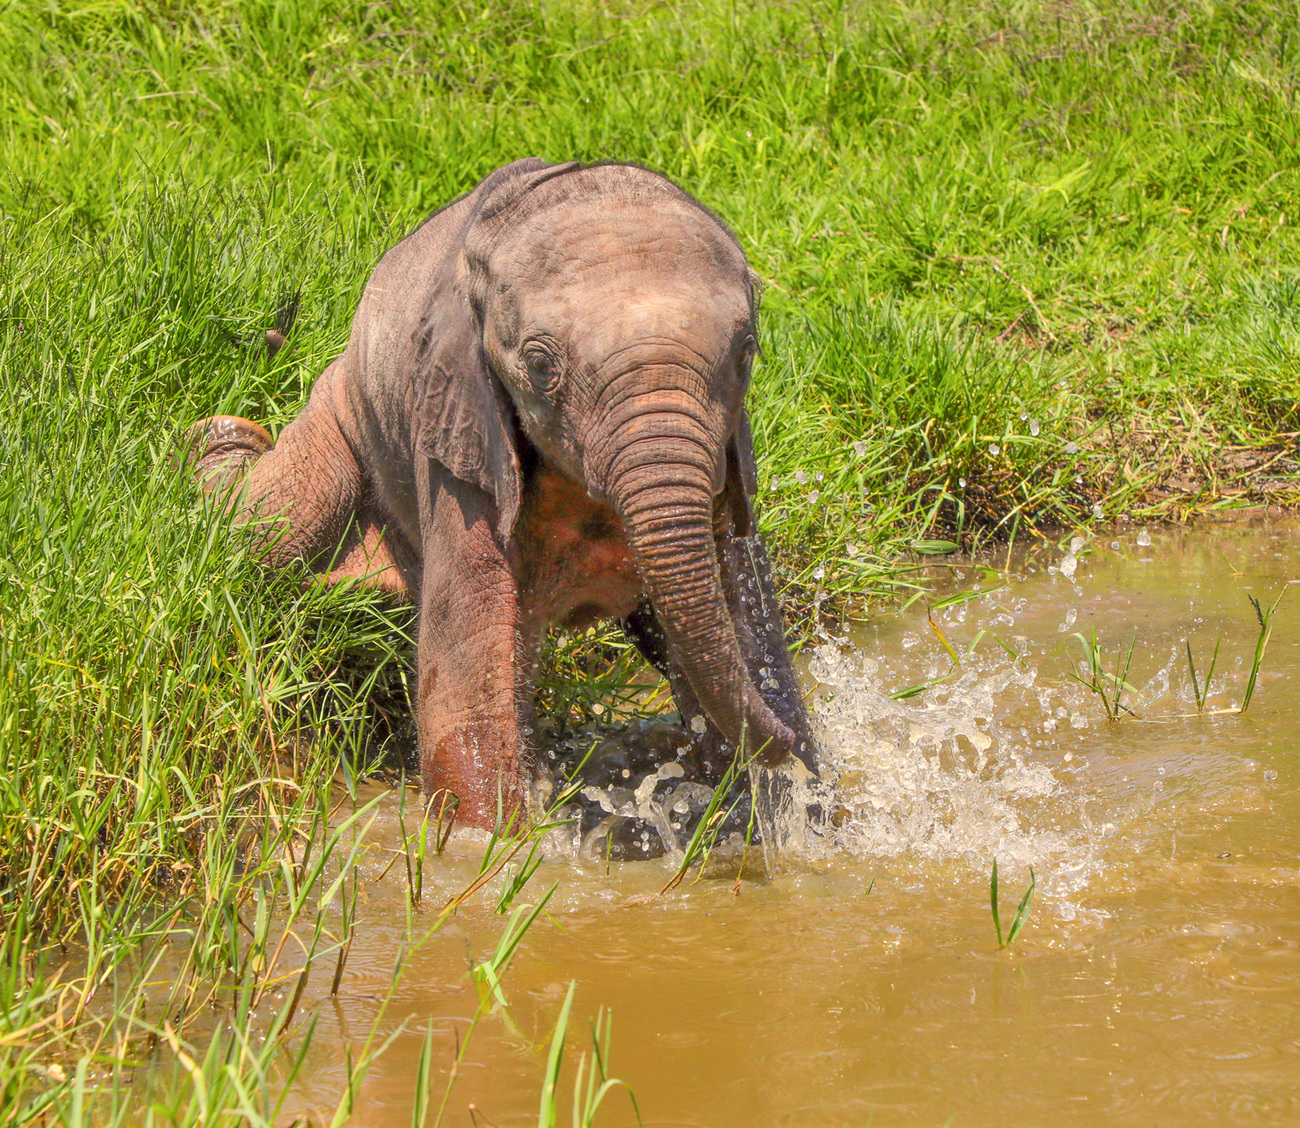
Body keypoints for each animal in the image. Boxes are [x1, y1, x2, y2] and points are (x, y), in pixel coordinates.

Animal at [195, 161, 811, 826]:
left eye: (746, 353)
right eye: (541, 366)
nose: (790, 749)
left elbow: (746, 630)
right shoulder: (459, 428)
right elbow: (466, 678)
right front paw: (492, 845)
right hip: (338, 425)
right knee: (262, 534)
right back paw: (222, 441)